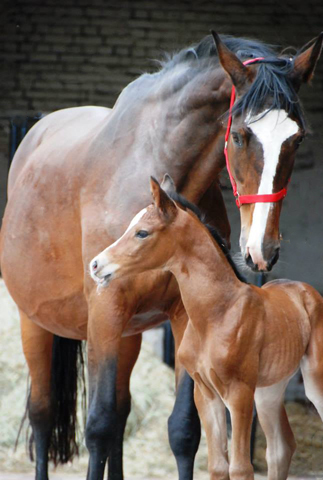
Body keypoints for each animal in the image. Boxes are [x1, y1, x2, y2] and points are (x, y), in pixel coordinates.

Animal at [91, 177, 323, 480]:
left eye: (142, 233)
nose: (96, 265)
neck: (215, 315)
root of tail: (305, 290)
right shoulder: (205, 393)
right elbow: (218, 466)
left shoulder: (239, 393)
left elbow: (240, 467)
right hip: (269, 390)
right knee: (280, 448)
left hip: (313, 380)